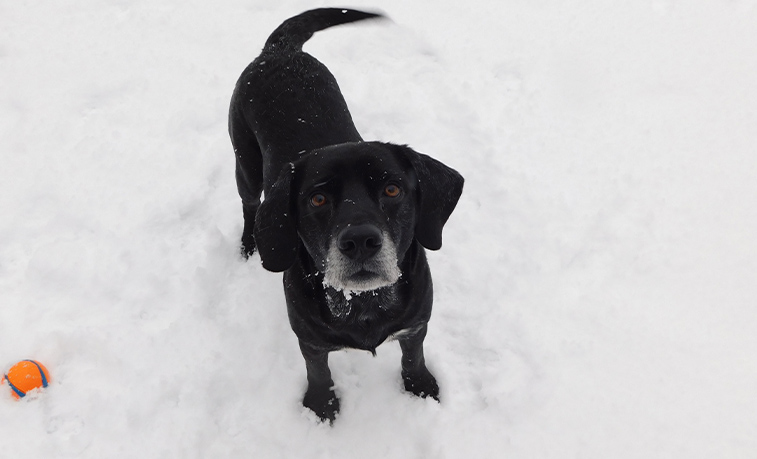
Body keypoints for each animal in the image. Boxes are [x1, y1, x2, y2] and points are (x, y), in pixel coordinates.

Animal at [226, 7, 460, 424]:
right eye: (317, 199)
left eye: (392, 189)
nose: (360, 241)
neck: (363, 304)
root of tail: (280, 51)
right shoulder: (309, 340)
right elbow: (318, 371)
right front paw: (321, 406)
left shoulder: (417, 323)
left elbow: (413, 357)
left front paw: (420, 386)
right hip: (246, 166)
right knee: (249, 207)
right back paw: (248, 244)